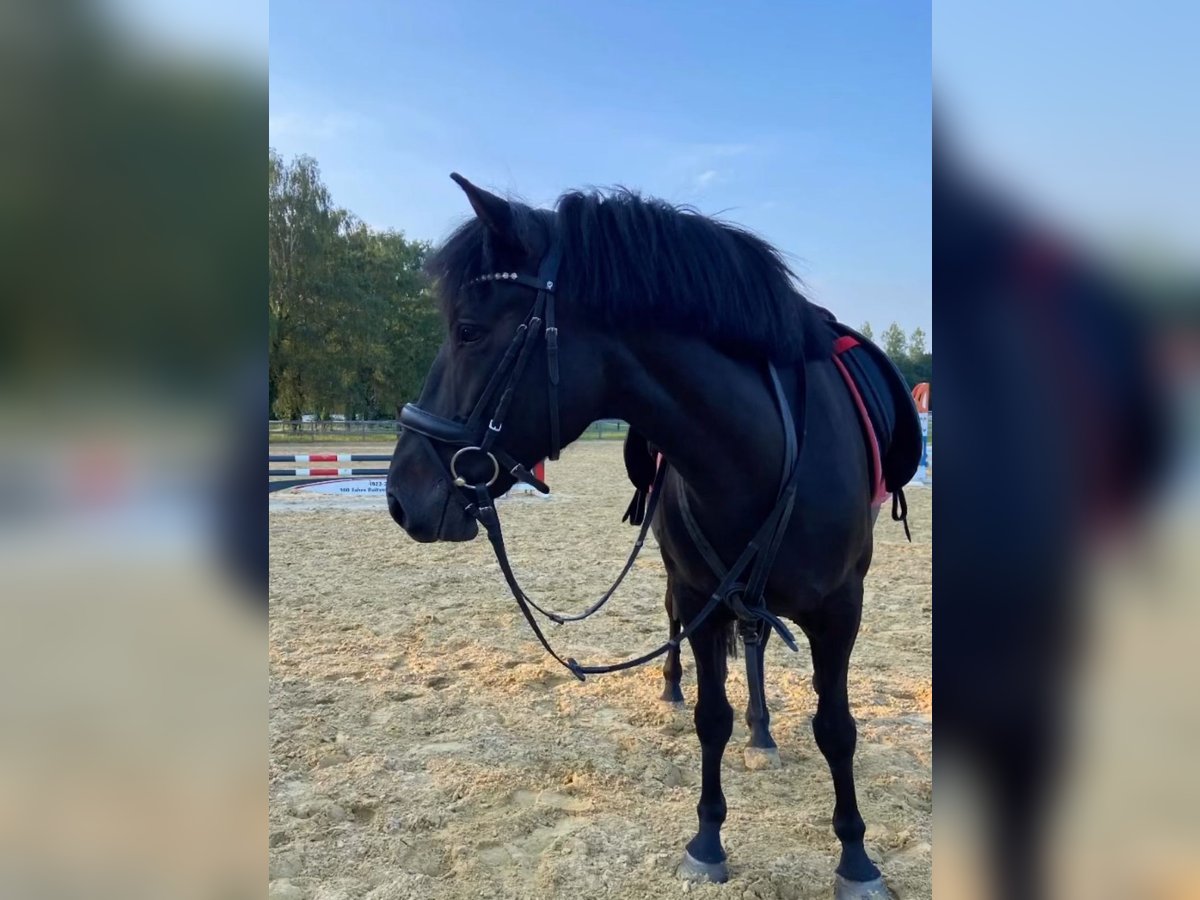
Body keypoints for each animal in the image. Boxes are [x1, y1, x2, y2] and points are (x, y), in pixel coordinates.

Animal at [384, 172, 916, 897]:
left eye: (468, 331)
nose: (399, 496)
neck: (762, 453)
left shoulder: (841, 609)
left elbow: (836, 728)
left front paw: (857, 859)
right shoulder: (701, 597)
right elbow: (710, 717)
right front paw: (707, 841)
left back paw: (764, 733)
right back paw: (684, 693)